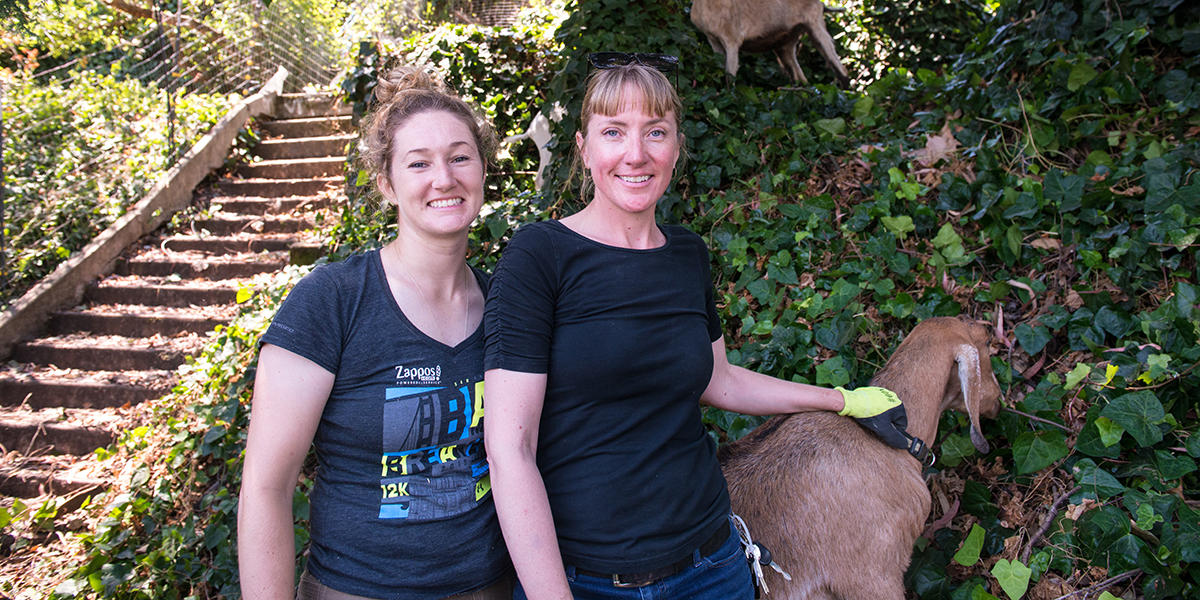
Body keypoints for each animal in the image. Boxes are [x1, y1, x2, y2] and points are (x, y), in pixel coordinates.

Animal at [686, 0, 854, 87]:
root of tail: (821, 4)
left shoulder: (732, 41)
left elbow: (730, 76)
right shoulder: (713, 40)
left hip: (815, 25)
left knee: (840, 67)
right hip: (786, 43)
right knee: (800, 77)